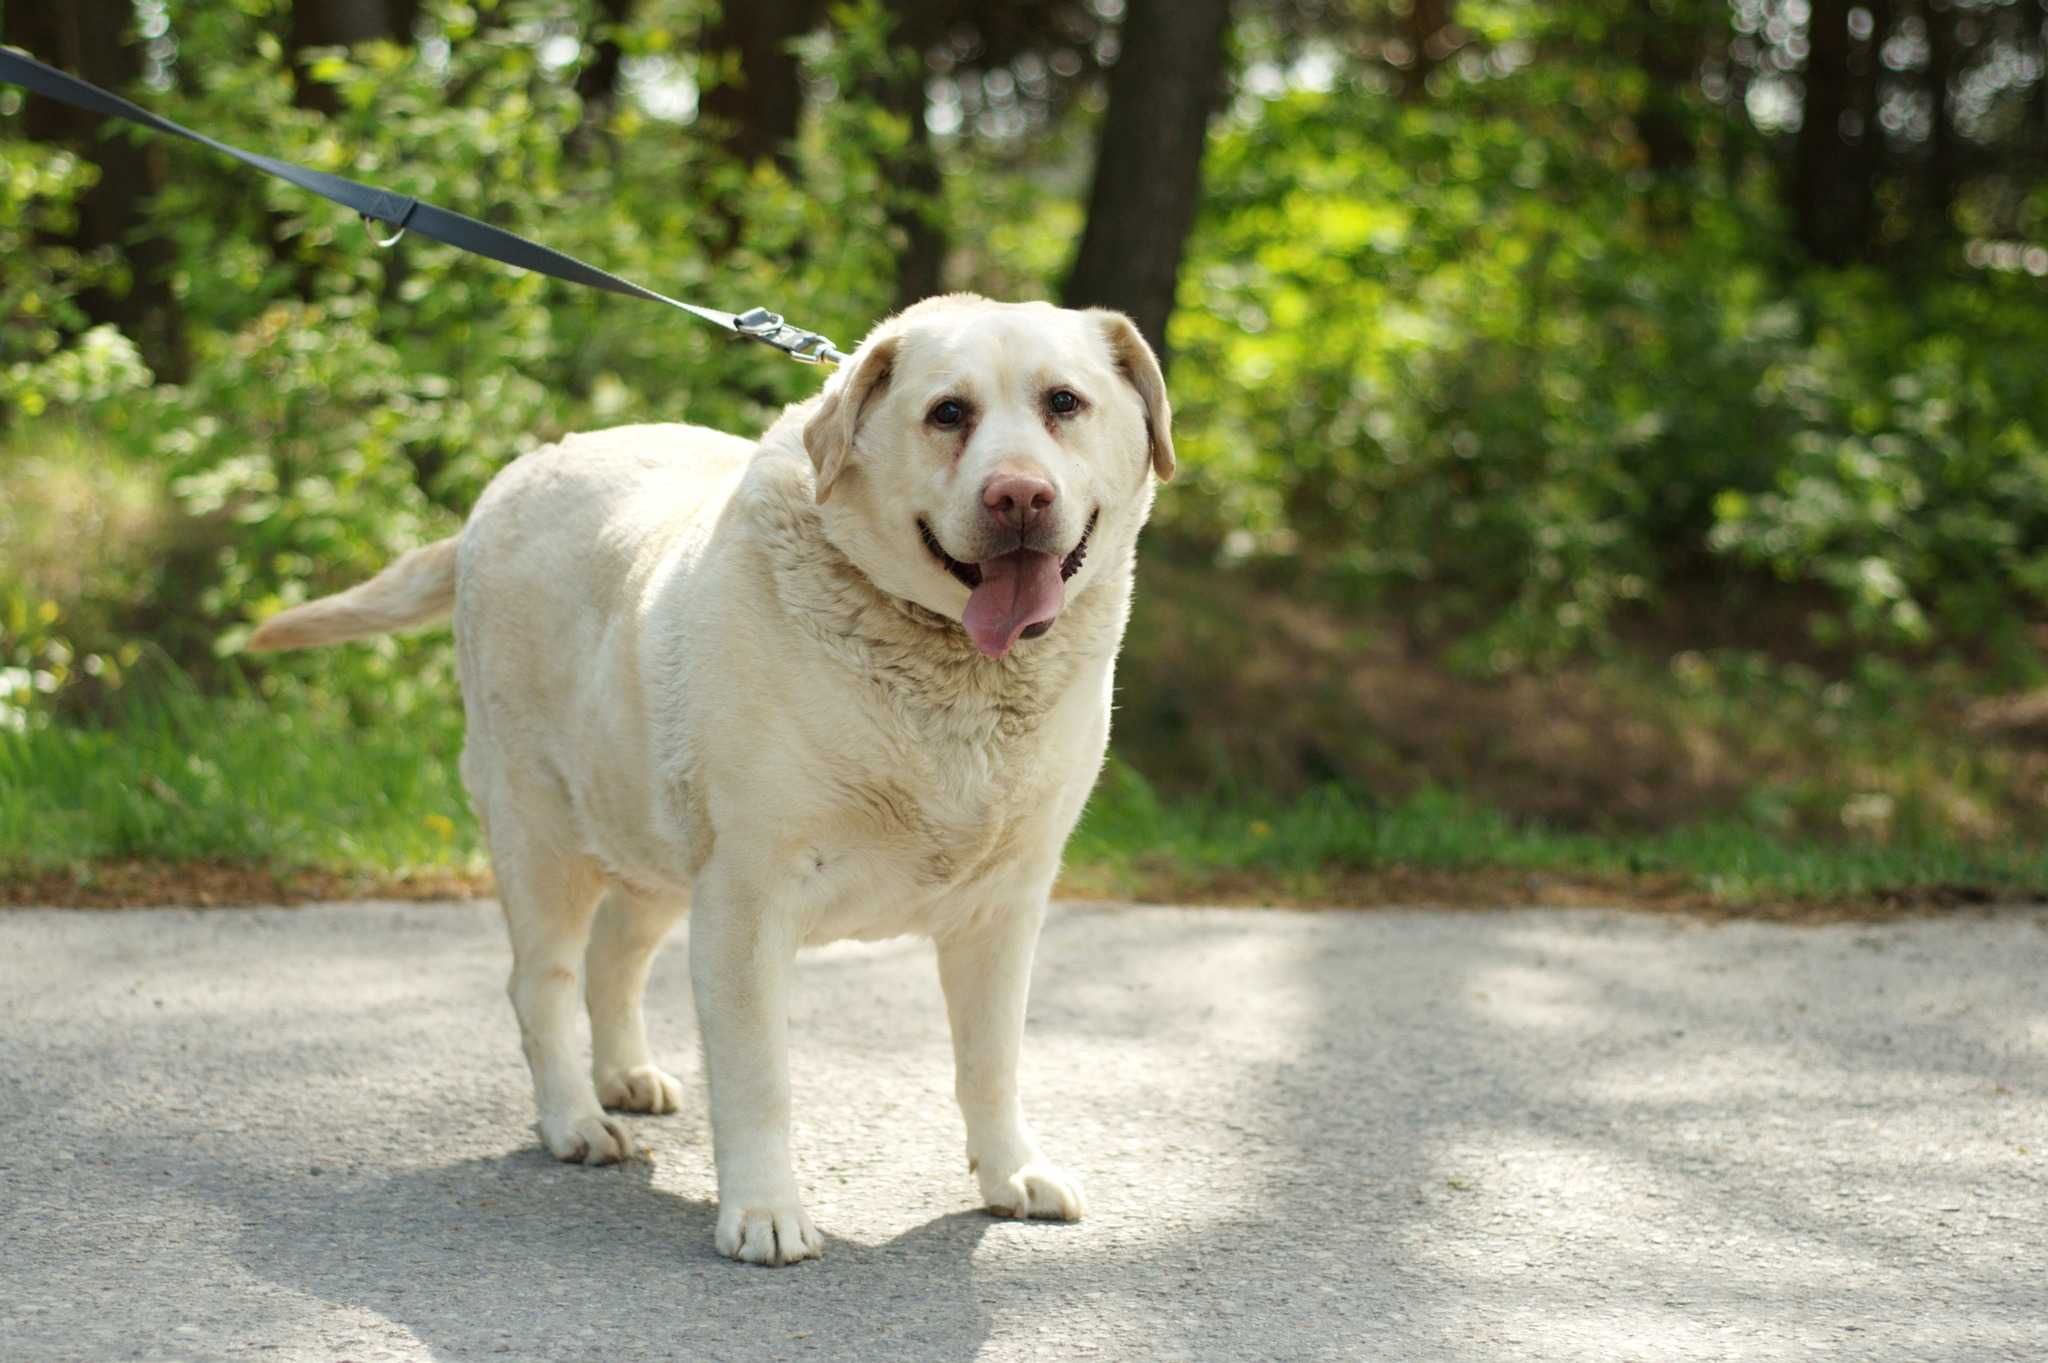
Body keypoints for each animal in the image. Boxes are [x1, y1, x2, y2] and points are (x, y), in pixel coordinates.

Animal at [253, 296, 1179, 1260]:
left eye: (1063, 402)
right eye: (948, 413)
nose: (1020, 495)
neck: (951, 674)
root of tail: (501, 490)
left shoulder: (1005, 903)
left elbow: (991, 1061)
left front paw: (1011, 1173)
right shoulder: (748, 894)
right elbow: (757, 1073)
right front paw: (766, 1211)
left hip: (650, 833)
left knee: (612, 957)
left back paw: (625, 1076)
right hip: (541, 831)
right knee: (542, 978)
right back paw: (574, 1120)